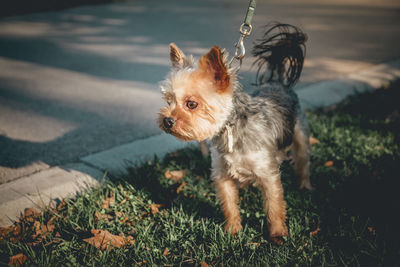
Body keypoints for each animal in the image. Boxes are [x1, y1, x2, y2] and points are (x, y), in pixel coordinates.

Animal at [159, 23, 312, 241]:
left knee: (302, 161)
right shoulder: (222, 175)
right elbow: (229, 205)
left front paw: (277, 234)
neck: (230, 129)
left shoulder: (269, 174)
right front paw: (232, 231)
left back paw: (305, 185)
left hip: (300, 135)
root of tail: (277, 82)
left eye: (191, 104)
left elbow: (274, 206)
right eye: (168, 101)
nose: (167, 120)